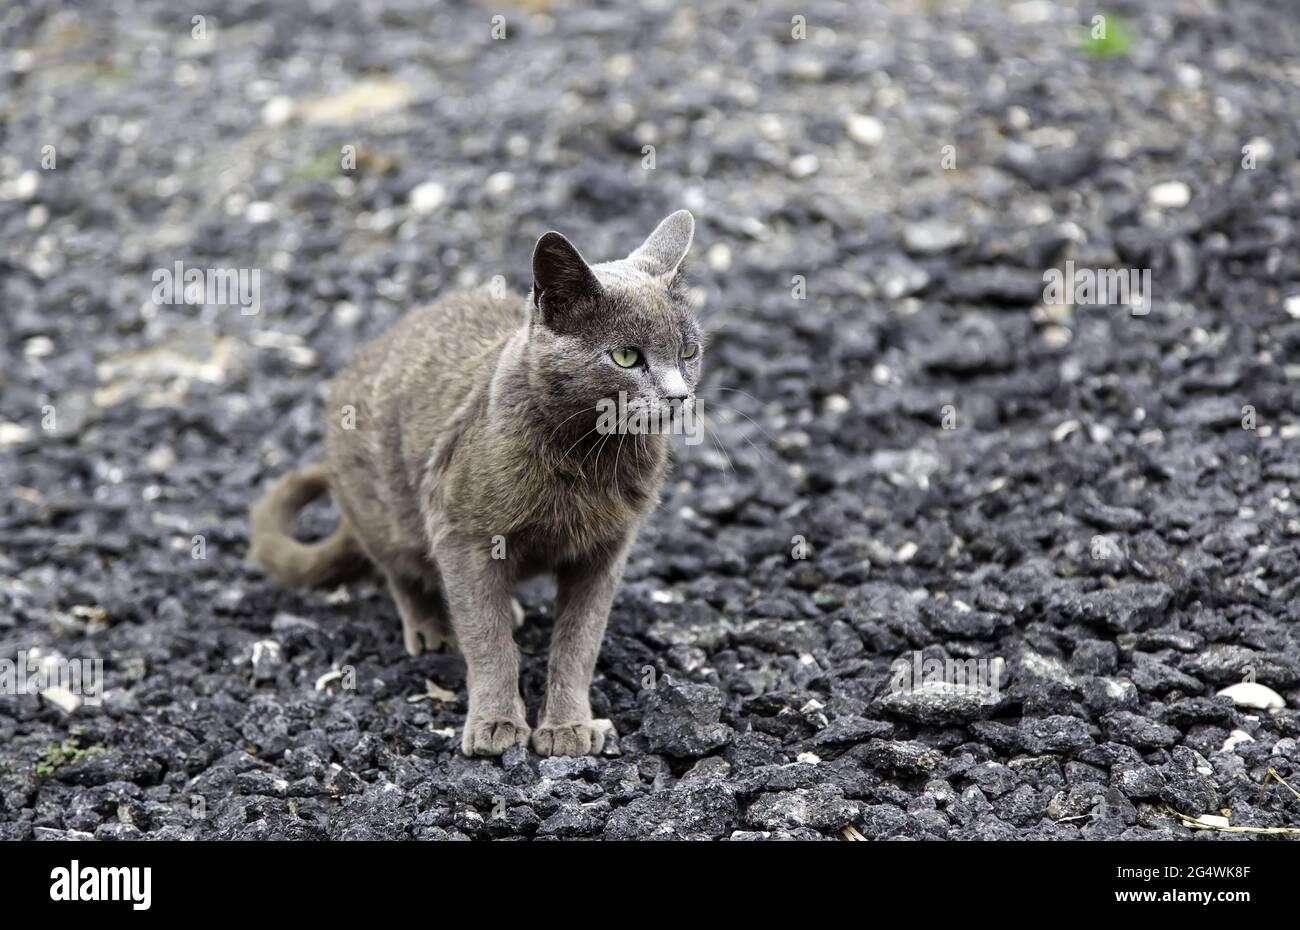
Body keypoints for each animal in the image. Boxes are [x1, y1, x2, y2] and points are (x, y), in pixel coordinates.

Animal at [252, 210, 702, 754]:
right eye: (627, 357)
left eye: (688, 351)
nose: (679, 396)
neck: (590, 458)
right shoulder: (462, 532)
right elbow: (486, 638)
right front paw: (497, 724)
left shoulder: (607, 549)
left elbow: (579, 643)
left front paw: (566, 728)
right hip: (387, 513)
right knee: (401, 570)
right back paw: (431, 628)